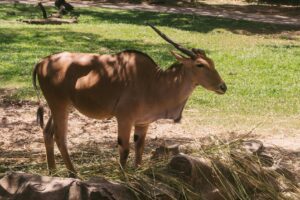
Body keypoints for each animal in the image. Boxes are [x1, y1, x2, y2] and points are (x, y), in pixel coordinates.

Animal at [32, 24, 225, 176]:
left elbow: (139, 147)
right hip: (59, 105)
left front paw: (138, 172)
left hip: (59, 107)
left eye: (212, 63)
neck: (154, 81)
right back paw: (73, 173)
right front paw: (123, 176)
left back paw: (53, 171)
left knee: (48, 132)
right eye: (200, 64)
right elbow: (124, 149)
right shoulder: (124, 118)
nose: (223, 86)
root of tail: (42, 62)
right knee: (60, 137)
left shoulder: (142, 123)